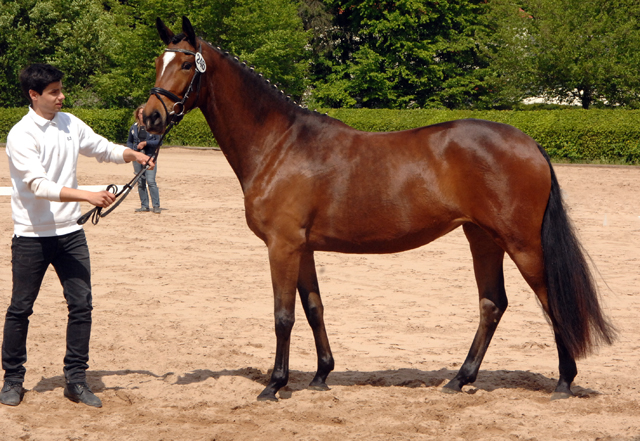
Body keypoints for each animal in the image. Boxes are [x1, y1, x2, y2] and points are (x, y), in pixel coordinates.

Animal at [144, 16, 616, 402]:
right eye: (156, 62)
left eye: (186, 65)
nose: (148, 118)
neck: (280, 144)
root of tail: (529, 143)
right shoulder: (303, 248)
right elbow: (314, 308)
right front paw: (320, 375)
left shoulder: (282, 247)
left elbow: (283, 316)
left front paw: (275, 385)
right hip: (482, 238)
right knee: (492, 304)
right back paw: (460, 379)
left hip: (523, 244)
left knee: (551, 301)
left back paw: (563, 381)